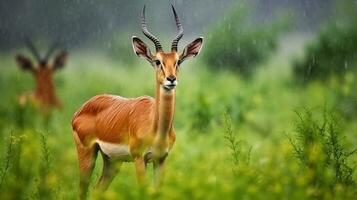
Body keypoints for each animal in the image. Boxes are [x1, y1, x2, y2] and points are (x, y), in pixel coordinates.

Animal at [71, 4, 203, 198]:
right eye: (158, 61)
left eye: (178, 61)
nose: (171, 79)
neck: (157, 128)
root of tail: (79, 111)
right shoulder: (139, 158)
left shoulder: (160, 160)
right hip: (87, 154)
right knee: (82, 190)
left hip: (112, 161)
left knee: (97, 190)